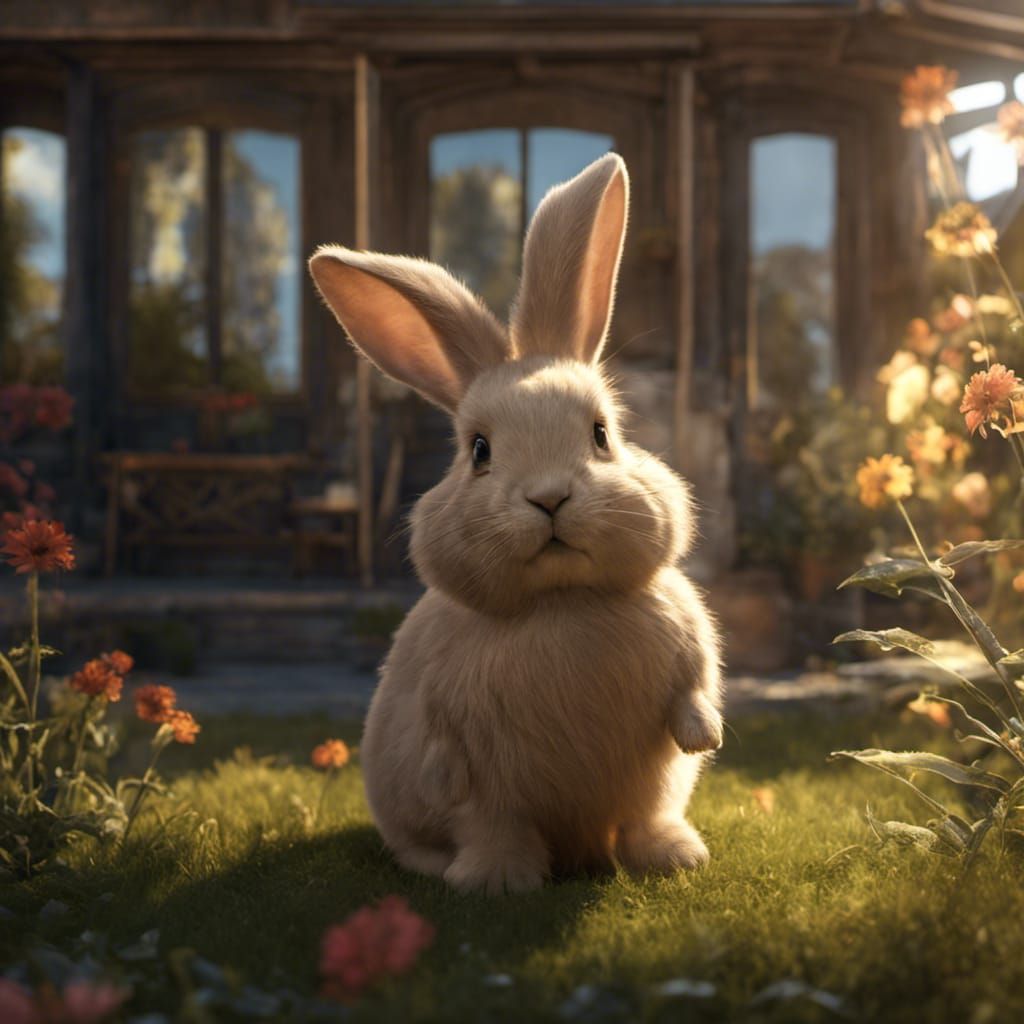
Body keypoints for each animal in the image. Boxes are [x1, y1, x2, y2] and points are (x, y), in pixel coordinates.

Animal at [308, 152, 724, 895]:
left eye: (601, 434)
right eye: (479, 451)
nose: (550, 498)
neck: (561, 601)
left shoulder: (690, 633)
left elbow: (697, 689)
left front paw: (705, 736)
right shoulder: (442, 701)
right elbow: (447, 763)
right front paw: (445, 787)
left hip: (648, 798)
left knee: (642, 822)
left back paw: (673, 857)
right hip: (488, 814)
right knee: (486, 834)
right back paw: (492, 882)